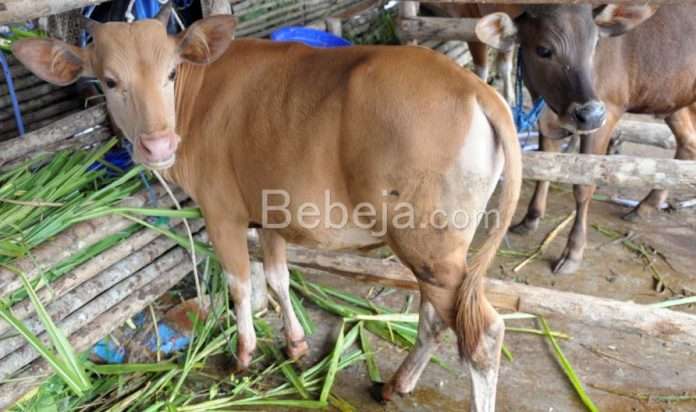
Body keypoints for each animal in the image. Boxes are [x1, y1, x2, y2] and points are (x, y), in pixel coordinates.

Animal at [13, 5, 520, 408]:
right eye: (110, 80)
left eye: (170, 74)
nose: (158, 145)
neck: (198, 97)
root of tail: (476, 89)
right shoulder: (272, 209)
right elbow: (278, 277)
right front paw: (295, 345)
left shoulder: (221, 212)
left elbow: (239, 285)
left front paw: (242, 354)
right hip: (437, 252)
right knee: (436, 319)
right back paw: (396, 384)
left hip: (429, 246)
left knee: (482, 336)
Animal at [476, 4, 696, 276]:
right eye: (544, 50)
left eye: (595, 45)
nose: (590, 114)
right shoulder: (546, 117)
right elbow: (546, 168)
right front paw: (530, 219)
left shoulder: (606, 116)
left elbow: (583, 185)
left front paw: (573, 252)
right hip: (675, 100)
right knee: (688, 143)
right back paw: (645, 205)